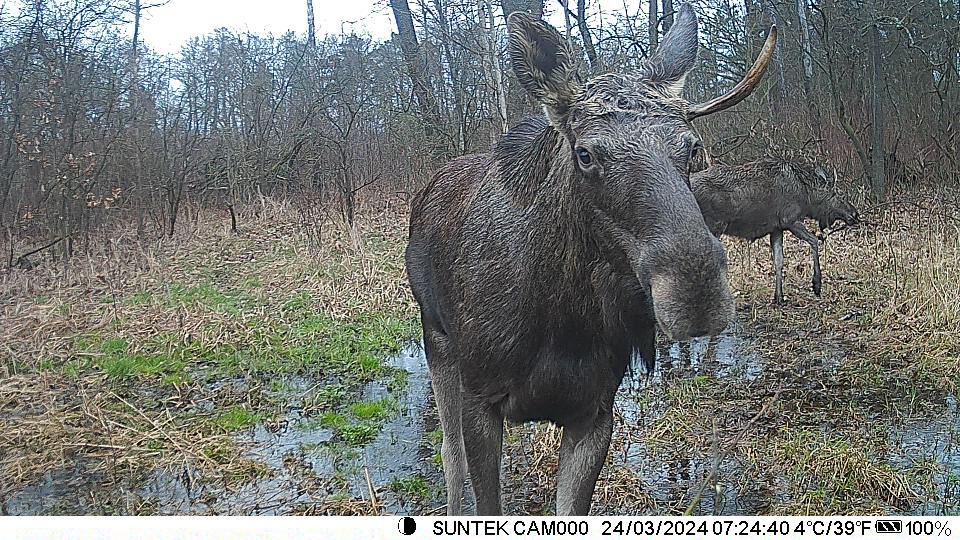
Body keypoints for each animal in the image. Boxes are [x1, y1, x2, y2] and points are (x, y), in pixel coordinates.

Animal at [404, 4, 776, 515]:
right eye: (584, 153)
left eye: (693, 148)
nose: (696, 292)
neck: (563, 321)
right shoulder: (480, 397)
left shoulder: (596, 412)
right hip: (436, 339)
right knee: (449, 455)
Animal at [690, 158, 860, 304]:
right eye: (837, 194)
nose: (855, 214)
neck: (807, 197)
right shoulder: (789, 220)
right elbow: (814, 241)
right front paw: (816, 285)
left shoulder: (776, 228)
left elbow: (779, 261)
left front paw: (779, 297)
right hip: (713, 225)